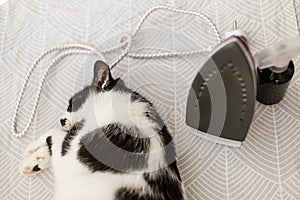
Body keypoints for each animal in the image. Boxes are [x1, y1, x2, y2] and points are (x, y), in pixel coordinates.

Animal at [18, 60, 184, 200]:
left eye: (71, 104)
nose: (61, 120)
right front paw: (36, 161)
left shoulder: (70, 161)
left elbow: (55, 134)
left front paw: (33, 147)